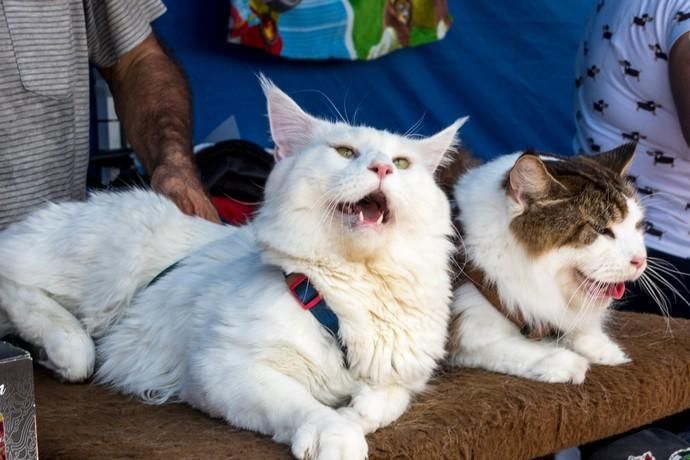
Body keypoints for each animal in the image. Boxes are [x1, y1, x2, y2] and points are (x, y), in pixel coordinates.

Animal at [0, 79, 468, 460]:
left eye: (402, 163)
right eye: (345, 152)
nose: (382, 168)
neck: (351, 293)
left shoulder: (402, 375)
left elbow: (381, 403)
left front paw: (352, 415)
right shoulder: (222, 367)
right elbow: (303, 404)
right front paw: (334, 433)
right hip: (100, 272)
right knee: (21, 287)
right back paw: (63, 345)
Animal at [446, 146, 644, 384]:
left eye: (637, 226)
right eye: (601, 230)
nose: (641, 261)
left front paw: (603, 348)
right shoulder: (468, 328)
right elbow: (517, 350)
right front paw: (567, 363)